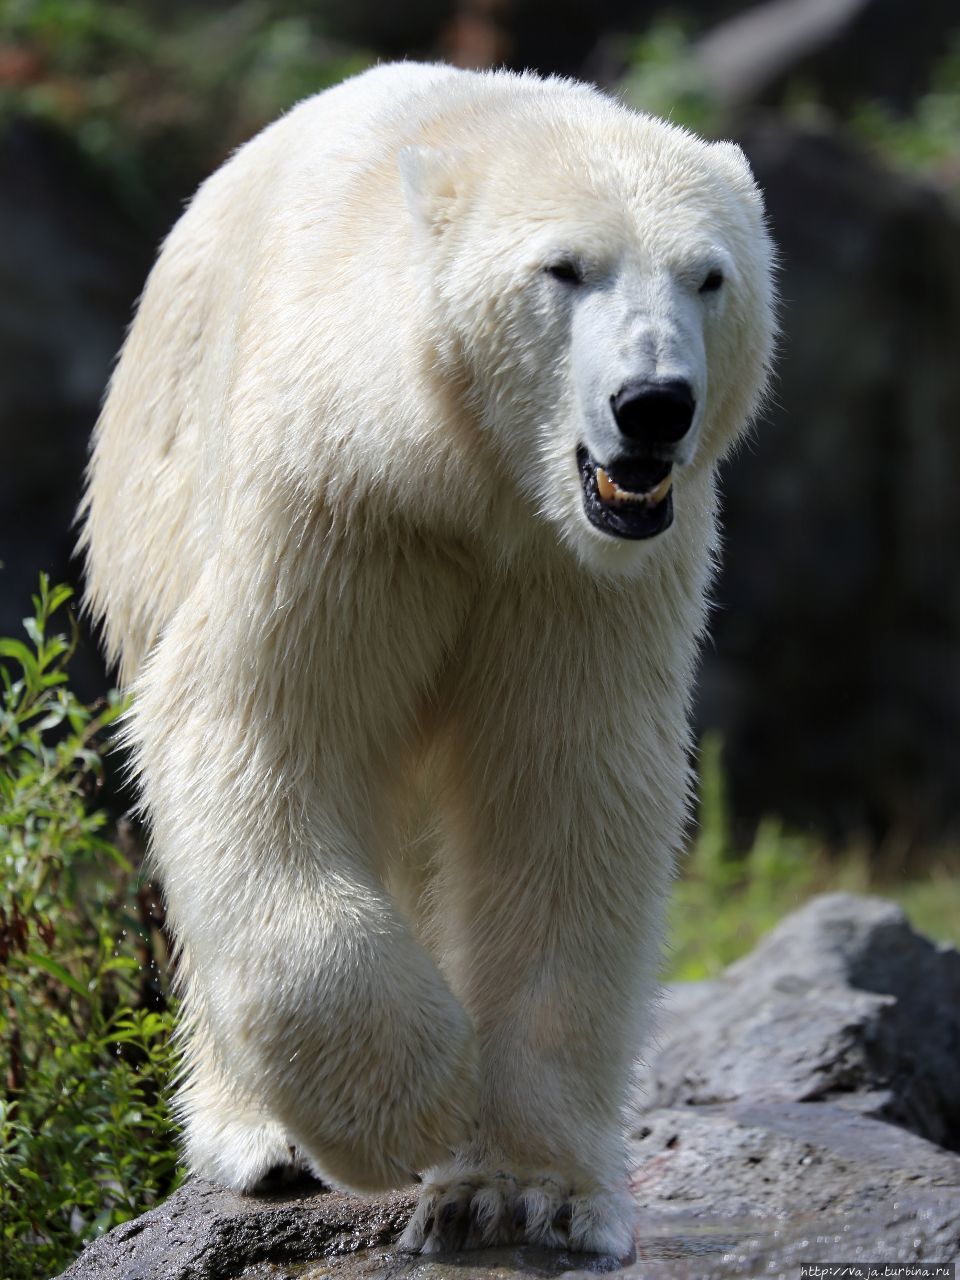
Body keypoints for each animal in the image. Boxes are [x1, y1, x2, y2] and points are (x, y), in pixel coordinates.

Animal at [79, 64, 778, 1254]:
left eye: (710, 276)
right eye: (566, 268)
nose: (653, 405)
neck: (475, 475)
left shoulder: (582, 574)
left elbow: (563, 793)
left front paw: (523, 1190)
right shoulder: (340, 496)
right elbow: (260, 723)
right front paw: (410, 1101)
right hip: (158, 482)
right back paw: (259, 1137)